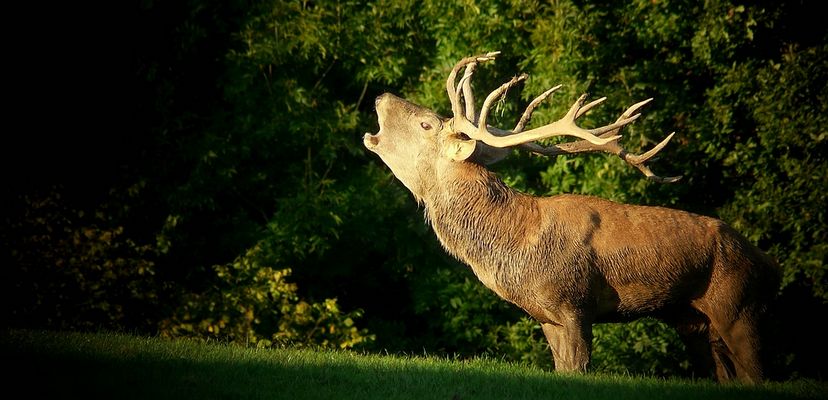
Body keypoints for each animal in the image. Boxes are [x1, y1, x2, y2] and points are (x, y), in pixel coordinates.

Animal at [362, 52, 780, 384]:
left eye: (427, 124)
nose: (381, 96)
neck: (515, 242)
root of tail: (770, 264)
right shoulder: (548, 317)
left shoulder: (574, 302)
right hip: (696, 323)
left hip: (740, 307)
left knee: (758, 373)